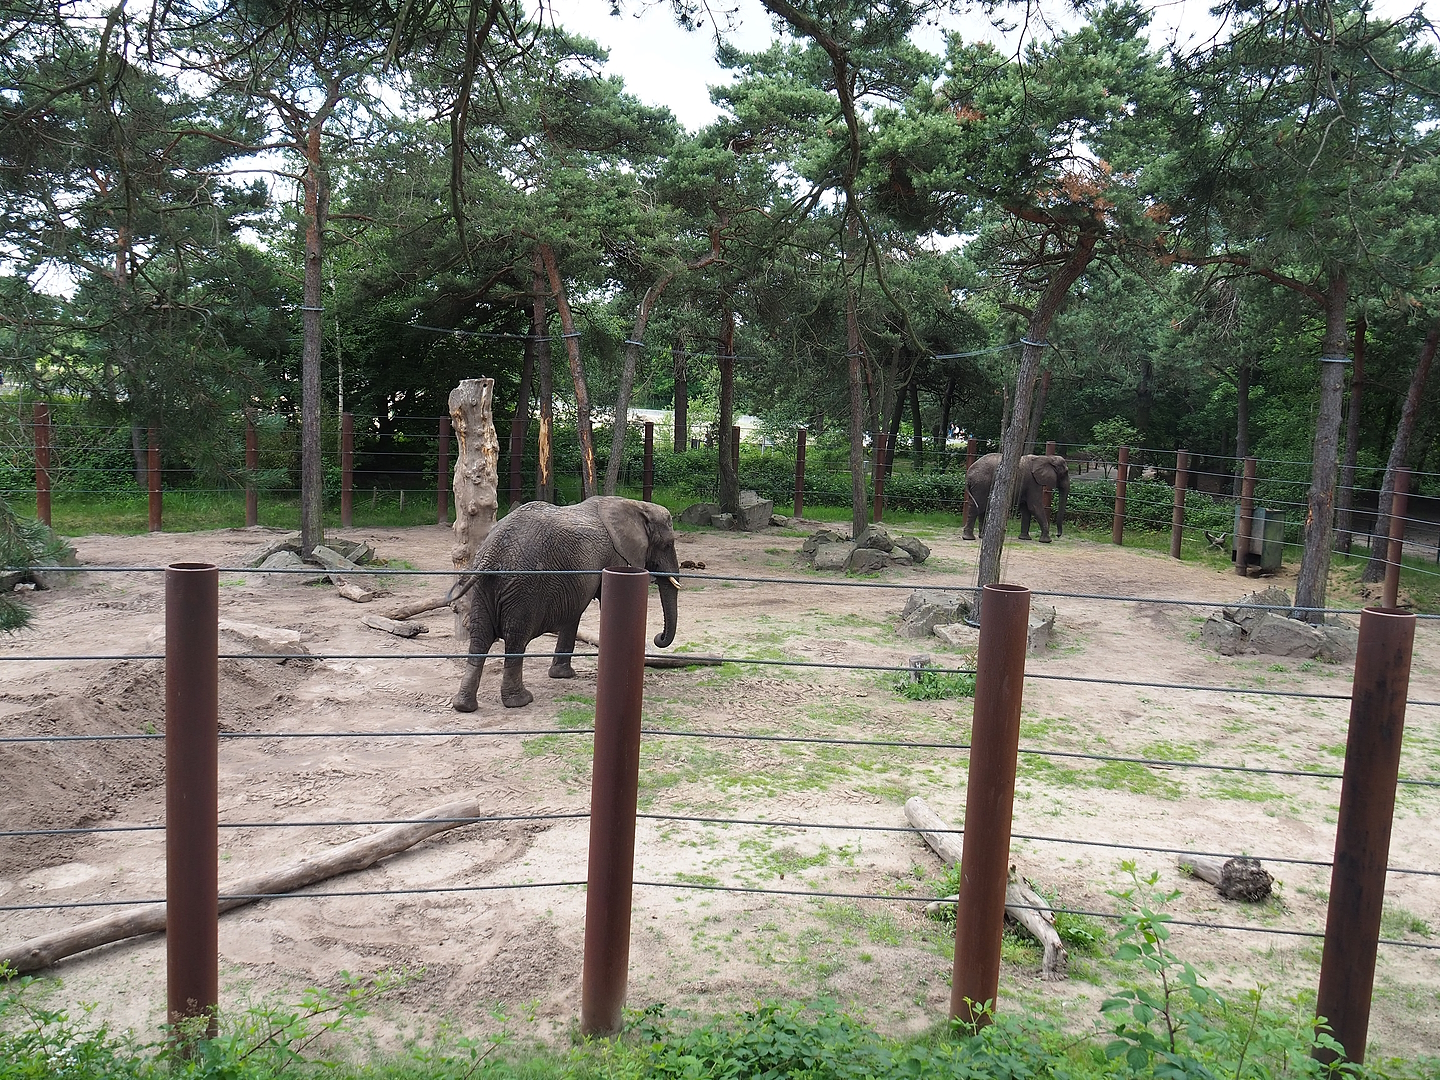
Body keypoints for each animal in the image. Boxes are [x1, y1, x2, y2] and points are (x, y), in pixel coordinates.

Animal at [451, 496, 681, 711]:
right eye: (668, 544)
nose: (658, 638)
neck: (637, 505)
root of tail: (491, 553)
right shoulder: (616, 557)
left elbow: (574, 613)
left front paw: (562, 675)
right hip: (524, 587)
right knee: (516, 638)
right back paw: (520, 701)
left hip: (483, 588)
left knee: (480, 638)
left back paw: (464, 705)